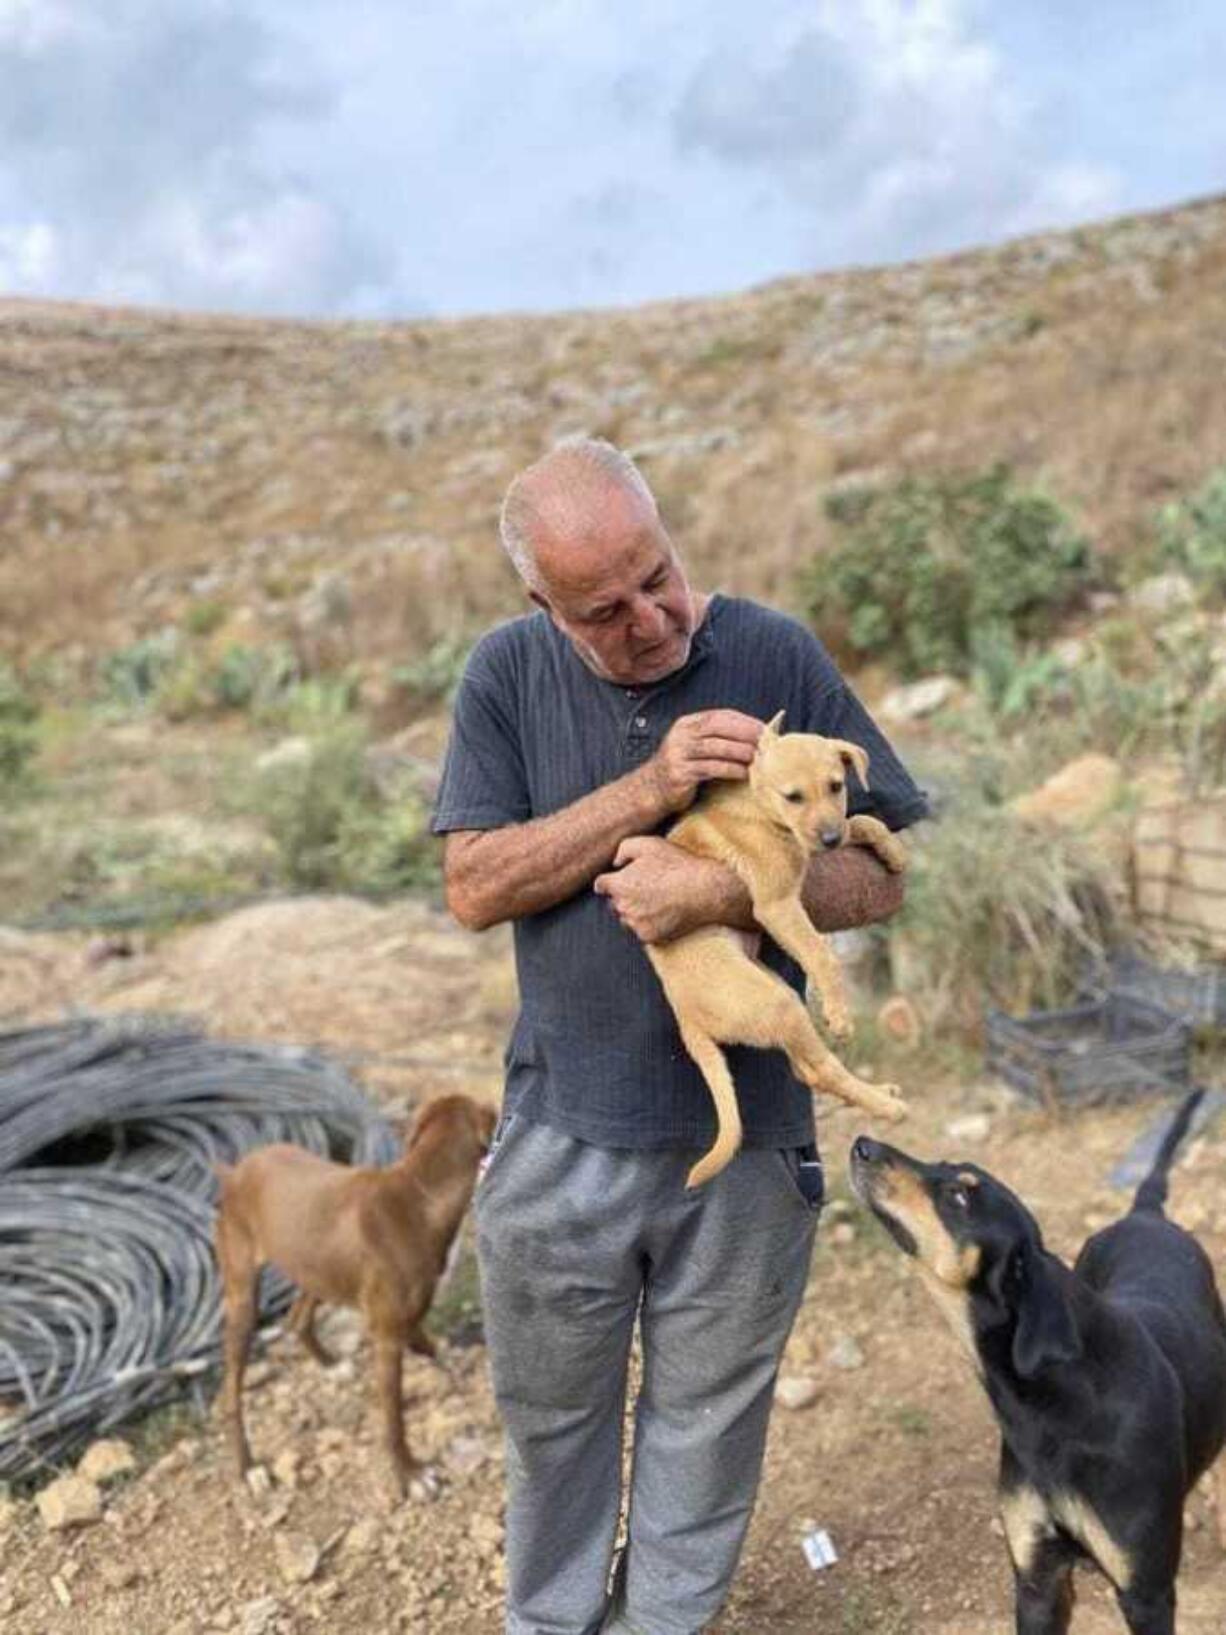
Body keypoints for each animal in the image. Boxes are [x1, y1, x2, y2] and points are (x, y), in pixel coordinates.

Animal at [214, 1092, 496, 1497]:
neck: (421, 1191)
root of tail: (235, 1171)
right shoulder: (386, 1336)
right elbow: (394, 1419)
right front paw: (410, 1474)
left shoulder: (404, 1311)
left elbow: (423, 1337)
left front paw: (443, 1359)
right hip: (243, 1296)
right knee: (232, 1392)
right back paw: (247, 1466)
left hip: (317, 1265)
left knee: (297, 1317)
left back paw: (330, 1365)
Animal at [647, 716, 908, 1190]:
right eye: (793, 797)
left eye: (836, 785)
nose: (828, 837)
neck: (760, 805)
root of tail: (686, 1020)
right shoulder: (777, 904)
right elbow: (821, 954)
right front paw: (839, 1014)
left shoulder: (818, 847)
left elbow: (861, 819)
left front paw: (893, 851)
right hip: (777, 1004)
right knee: (821, 1068)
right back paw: (887, 1106)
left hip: (777, 993)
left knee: (806, 1068)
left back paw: (880, 1093)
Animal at [850, 1092, 1226, 1635]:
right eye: (941, 1167)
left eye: (959, 1197)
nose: (862, 1144)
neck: (1059, 1403)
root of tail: (1146, 1214)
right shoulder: (1036, 1577)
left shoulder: (1147, 1594)